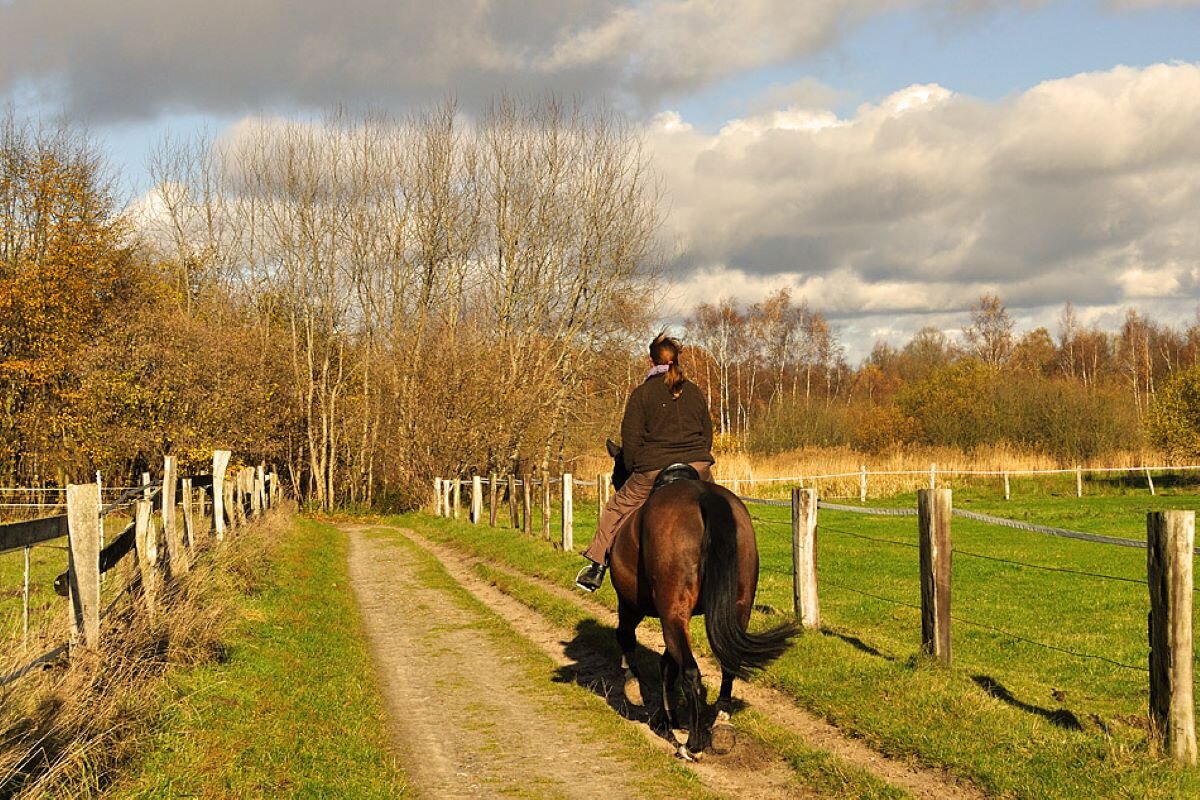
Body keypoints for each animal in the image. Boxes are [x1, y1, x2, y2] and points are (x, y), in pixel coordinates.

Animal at [604, 441, 801, 762]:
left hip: (669, 612)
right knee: (728, 664)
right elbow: (667, 663)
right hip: (736, 609)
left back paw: (692, 744)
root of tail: (703, 497)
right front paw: (667, 715)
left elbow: (628, 640)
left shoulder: (632, 606)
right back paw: (722, 725)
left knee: (691, 672)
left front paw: (636, 688)